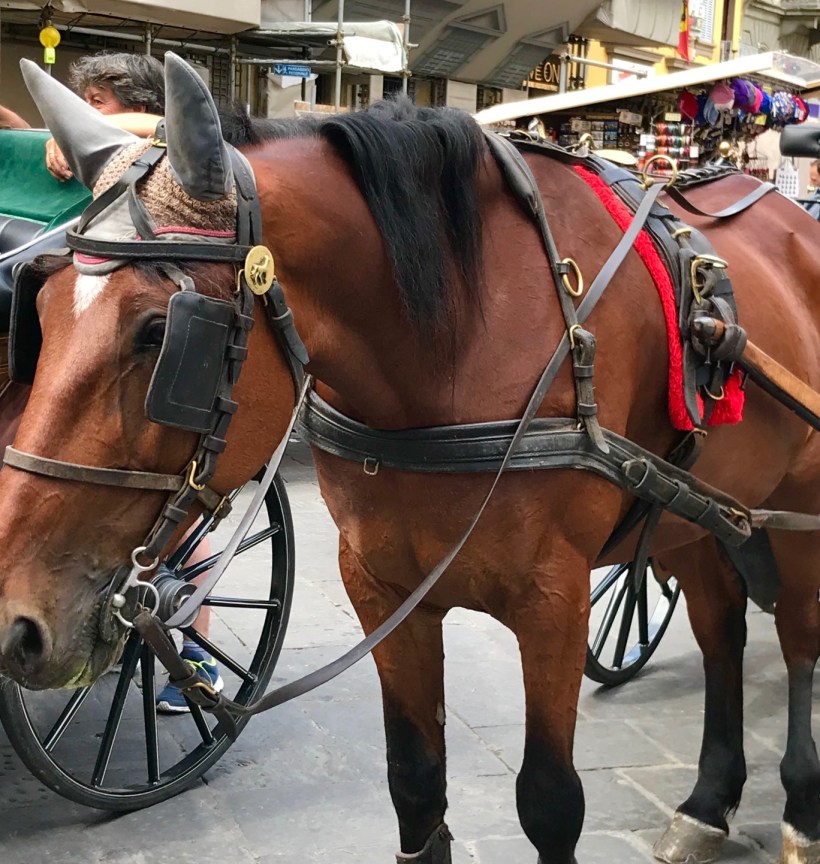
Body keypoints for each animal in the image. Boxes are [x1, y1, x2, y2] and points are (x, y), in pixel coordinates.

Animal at [0, 54, 816, 864]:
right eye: (36, 312)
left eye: (156, 334)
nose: (13, 626)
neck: (457, 345)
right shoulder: (382, 585)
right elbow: (415, 780)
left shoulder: (555, 597)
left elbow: (551, 801)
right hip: (698, 513)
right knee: (722, 628)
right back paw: (708, 803)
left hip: (795, 507)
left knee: (796, 636)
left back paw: (798, 810)